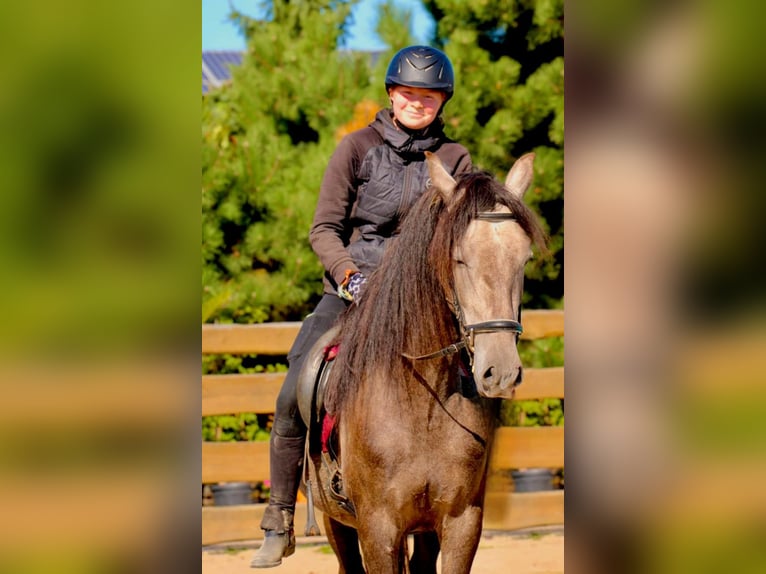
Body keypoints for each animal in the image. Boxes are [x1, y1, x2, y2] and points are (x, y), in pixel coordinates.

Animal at [297, 151, 548, 573]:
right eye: (458, 259)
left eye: (524, 259)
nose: (499, 372)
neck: (422, 403)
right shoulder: (378, 529)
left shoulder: (461, 522)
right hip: (337, 522)